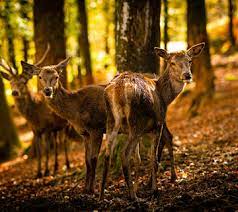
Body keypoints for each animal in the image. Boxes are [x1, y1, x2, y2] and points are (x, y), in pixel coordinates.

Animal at [0, 46, 70, 177]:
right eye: (10, 82)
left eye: (23, 82)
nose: (15, 92)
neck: (34, 117)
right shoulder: (35, 130)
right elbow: (39, 151)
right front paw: (38, 172)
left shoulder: (47, 127)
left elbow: (46, 149)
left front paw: (46, 171)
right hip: (56, 129)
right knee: (56, 143)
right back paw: (56, 166)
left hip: (66, 124)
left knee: (64, 142)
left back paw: (67, 165)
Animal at [21, 58, 107, 194]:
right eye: (40, 77)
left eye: (56, 76)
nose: (48, 90)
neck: (76, 112)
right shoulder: (84, 133)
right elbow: (87, 160)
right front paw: (85, 189)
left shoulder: (97, 129)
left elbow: (94, 159)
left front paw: (92, 190)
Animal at [98, 42, 205, 200]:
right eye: (172, 63)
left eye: (190, 61)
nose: (187, 75)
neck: (165, 97)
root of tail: (118, 90)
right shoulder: (158, 124)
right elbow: (153, 156)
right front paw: (154, 189)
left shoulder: (141, 131)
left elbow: (138, 159)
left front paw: (138, 187)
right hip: (136, 121)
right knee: (124, 153)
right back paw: (133, 197)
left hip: (112, 121)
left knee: (107, 154)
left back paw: (101, 196)